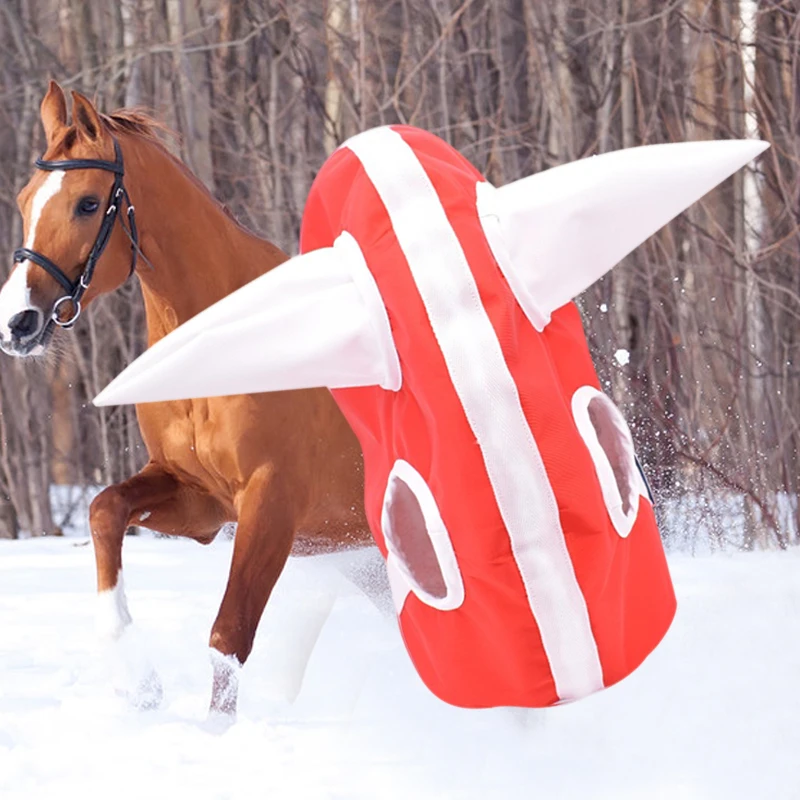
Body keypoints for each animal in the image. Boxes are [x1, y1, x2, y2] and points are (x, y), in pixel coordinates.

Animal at [0, 81, 368, 716]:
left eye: (88, 204)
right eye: (26, 199)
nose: (17, 322)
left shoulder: (269, 504)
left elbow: (228, 637)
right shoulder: (199, 499)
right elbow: (104, 510)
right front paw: (137, 677)